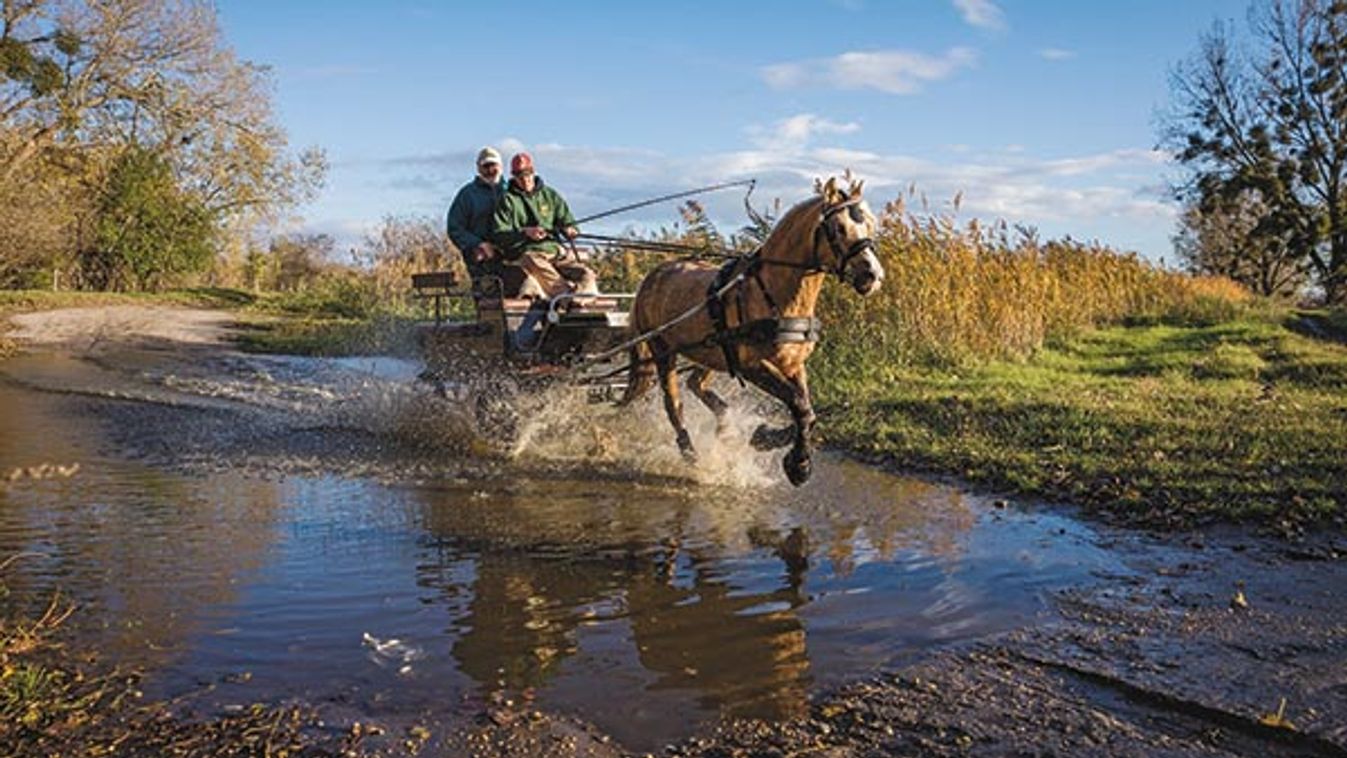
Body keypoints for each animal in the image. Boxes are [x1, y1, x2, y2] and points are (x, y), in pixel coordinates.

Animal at [616, 176, 883, 487]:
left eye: (870, 224)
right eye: (839, 227)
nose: (872, 275)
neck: (774, 292)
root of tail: (651, 277)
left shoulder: (793, 364)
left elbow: (806, 410)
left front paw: (770, 440)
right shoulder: (753, 366)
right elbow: (798, 405)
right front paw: (797, 465)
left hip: (712, 352)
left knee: (696, 383)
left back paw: (726, 426)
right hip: (662, 350)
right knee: (673, 403)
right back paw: (690, 453)